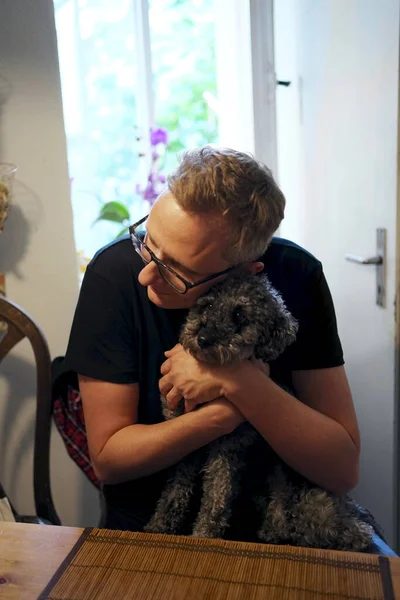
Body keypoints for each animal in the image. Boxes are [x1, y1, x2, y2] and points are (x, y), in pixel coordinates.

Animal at [145, 274, 382, 552]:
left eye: (240, 315)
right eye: (208, 305)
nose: (202, 339)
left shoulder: (227, 449)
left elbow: (216, 497)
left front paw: (204, 535)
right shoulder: (186, 444)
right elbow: (175, 491)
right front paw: (159, 525)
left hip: (312, 501)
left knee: (350, 529)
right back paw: (272, 530)